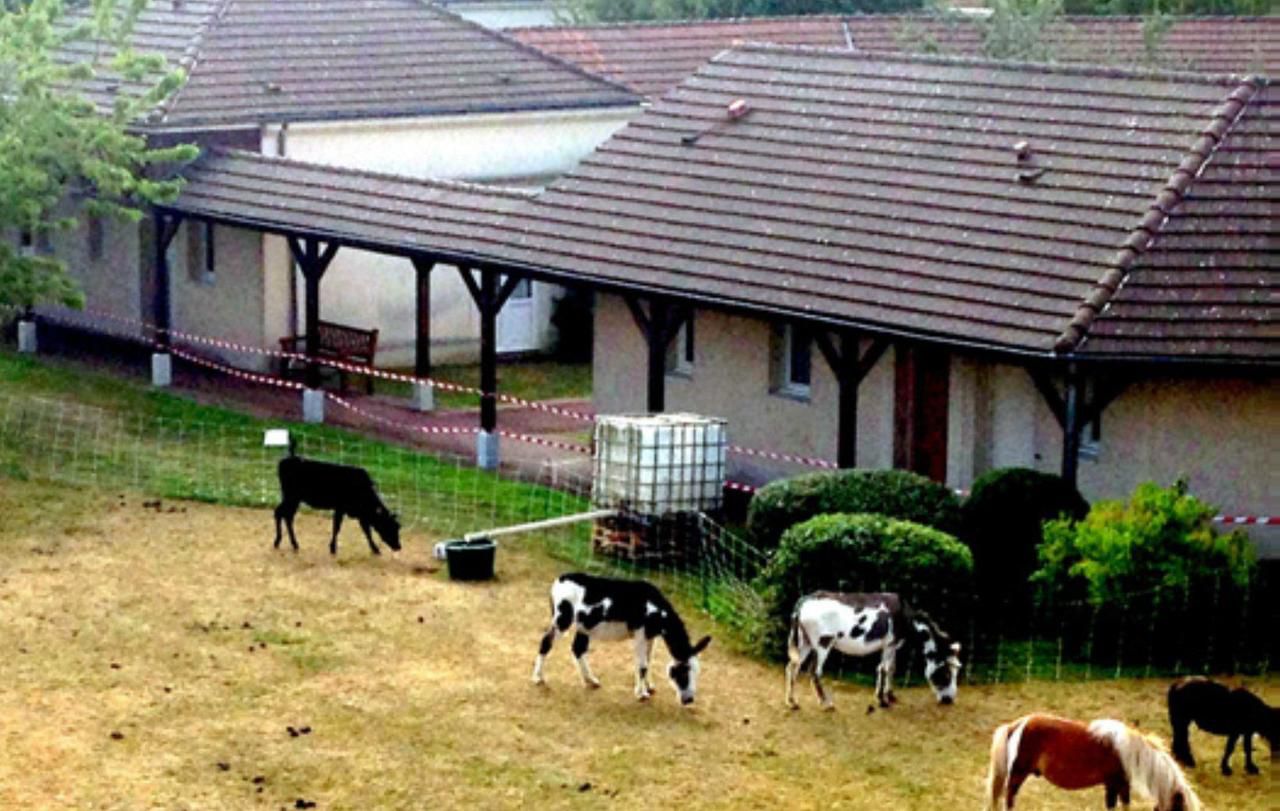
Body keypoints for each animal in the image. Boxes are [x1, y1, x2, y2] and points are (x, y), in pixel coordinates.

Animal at [529, 567, 711, 700]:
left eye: (696, 672)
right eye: (683, 672)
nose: (689, 700)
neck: (657, 610)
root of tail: (559, 580)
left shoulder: (650, 636)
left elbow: (648, 661)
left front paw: (649, 687)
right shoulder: (640, 634)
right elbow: (642, 665)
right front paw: (641, 694)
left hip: (583, 625)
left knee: (578, 648)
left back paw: (591, 681)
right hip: (562, 619)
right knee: (547, 641)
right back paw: (538, 678)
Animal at [778, 588, 962, 706]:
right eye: (947, 673)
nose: (949, 701)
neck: (905, 617)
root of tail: (805, 601)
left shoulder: (892, 646)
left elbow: (891, 669)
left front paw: (890, 696)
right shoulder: (889, 645)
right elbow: (884, 669)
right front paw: (882, 700)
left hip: (806, 642)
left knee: (792, 667)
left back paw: (792, 702)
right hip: (823, 643)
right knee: (814, 671)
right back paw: (825, 702)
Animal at [988, 711, 1198, 803]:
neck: (1130, 751)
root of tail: (1016, 724)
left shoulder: (1113, 785)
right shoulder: (1119, 783)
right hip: (1018, 774)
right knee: (1009, 797)